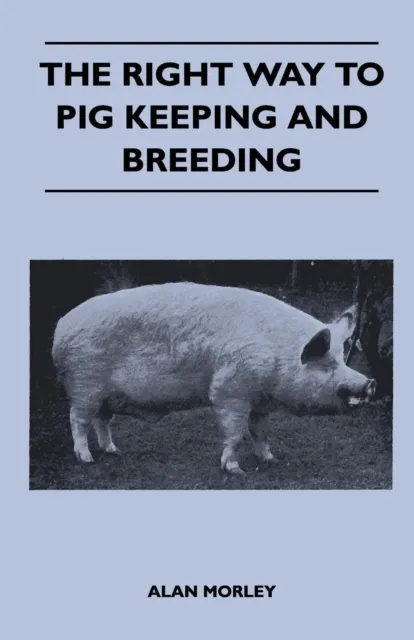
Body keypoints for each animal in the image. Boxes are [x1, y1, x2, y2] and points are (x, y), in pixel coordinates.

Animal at [52, 282, 377, 474]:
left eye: (342, 357)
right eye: (327, 364)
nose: (370, 383)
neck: (277, 354)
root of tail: (60, 328)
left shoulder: (259, 402)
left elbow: (260, 432)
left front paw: (270, 459)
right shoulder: (230, 389)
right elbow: (234, 433)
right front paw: (234, 470)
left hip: (105, 395)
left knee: (102, 421)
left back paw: (113, 451)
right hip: (85, 384)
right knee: (77, 420)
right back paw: (86, 458)